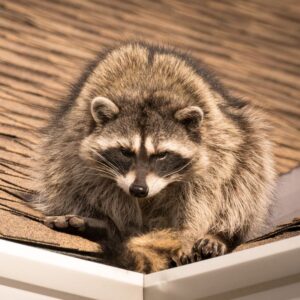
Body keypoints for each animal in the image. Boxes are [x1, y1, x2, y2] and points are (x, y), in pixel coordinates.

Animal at [31, 41, 276, 274]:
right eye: (125, 152)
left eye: (161, 155)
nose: (139, 189)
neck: (146, 92)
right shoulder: (78, 144)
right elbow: (97, 184)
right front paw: (123, 226)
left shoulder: (215, 149)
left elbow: (203, 194)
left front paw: (187, 234)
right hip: (59, 147)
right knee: (61, 176)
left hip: (246, 140)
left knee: (246, 178)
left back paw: (219, 233)